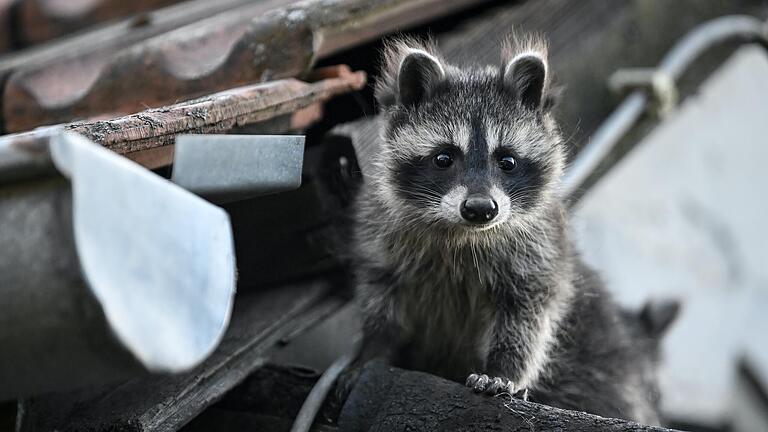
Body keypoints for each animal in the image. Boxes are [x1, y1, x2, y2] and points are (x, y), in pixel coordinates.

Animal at [350, 34, 680, 426]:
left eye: (507, 161)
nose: (480, 209)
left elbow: (527, 315)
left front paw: (504, 370)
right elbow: (382, 299)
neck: (465, 234)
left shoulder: (541, 250)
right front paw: (374, 349)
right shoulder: (382, 237)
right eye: (444, 158)